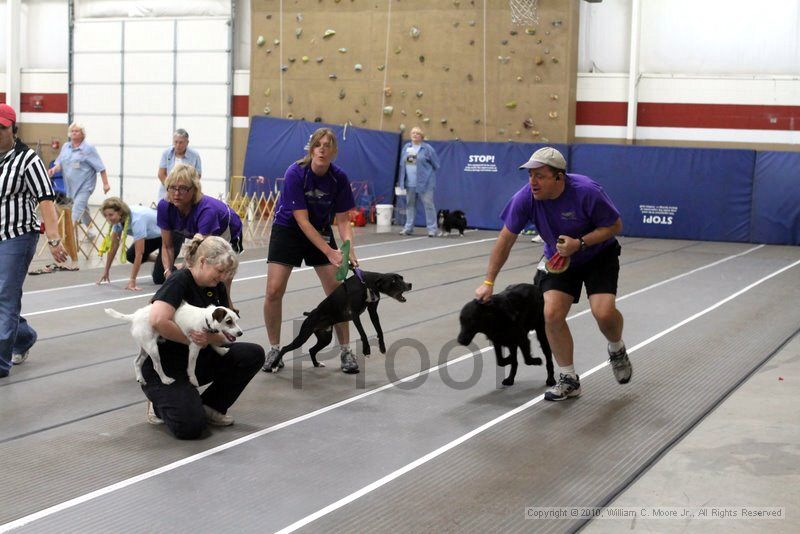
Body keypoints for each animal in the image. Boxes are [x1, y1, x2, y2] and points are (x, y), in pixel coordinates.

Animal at [264, 272, 412, 372]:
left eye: (402, 278)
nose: (410, 284)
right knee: (285, 348)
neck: (366, 283)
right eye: (394, 281)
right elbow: (363, 334)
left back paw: (317, 364)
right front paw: (366, 350)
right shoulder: (355, 315)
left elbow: (379, 330)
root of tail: (310, 314)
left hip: (325, 338)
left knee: (312, 350)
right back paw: (274, 365)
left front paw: (382, 347)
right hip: (303, 336)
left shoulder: (373, 312)